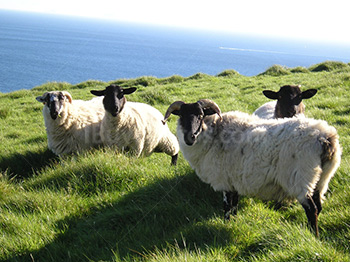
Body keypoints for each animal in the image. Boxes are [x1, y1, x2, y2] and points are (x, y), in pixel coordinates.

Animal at [164, 99, 342, 237]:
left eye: (201, 115)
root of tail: (325, 138)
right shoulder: (234, 182)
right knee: (319, 206)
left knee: (311, 209)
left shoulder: (224, 181)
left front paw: (226, 224)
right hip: (322, 179)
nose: (190, 137)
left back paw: (313, 236)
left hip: (300, 179)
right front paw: (233, 224)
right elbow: (234, 207)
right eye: (181, 116)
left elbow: (227, 208)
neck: (214, 133)